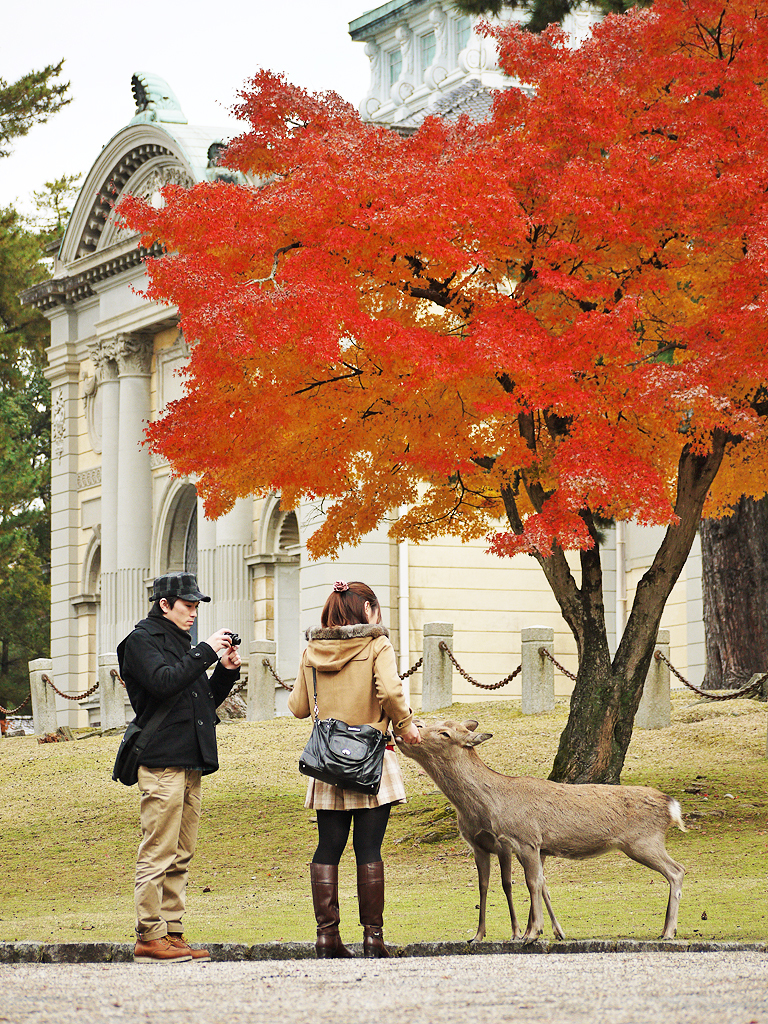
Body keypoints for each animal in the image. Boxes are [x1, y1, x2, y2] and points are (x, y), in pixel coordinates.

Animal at [397, 716, 684, 937]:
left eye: (445, 733)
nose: (407, 731)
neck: (489, 804)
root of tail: (672, 805)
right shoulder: (491, 846)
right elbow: (494, 884)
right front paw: (488, 935)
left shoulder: (524, 839)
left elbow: (531, 883)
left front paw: (530, 934)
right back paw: (665, 929)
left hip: (643, 841)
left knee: (676, 870)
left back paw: (668, 931)